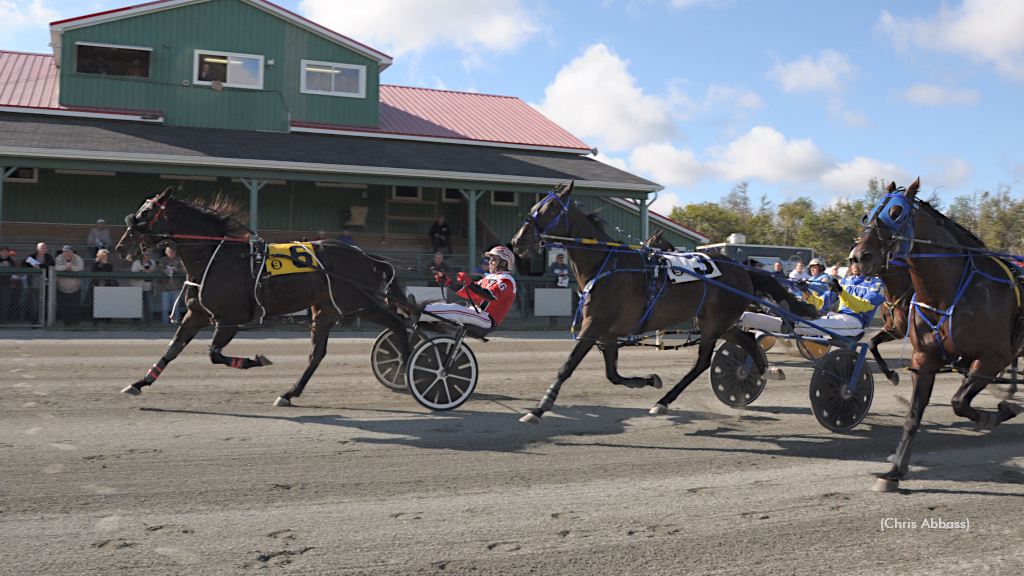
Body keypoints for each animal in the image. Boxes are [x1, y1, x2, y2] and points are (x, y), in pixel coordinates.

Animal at [115, 187, 411, 403]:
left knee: (399, 325)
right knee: (316, 354)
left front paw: (256, 360)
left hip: (362, 303)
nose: (120, 247)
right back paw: (289, 393)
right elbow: (172, 350)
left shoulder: (230, 319)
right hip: (325, 310)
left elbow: (214, 354)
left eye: (146, 213)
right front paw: (138, 383)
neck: (216, 257)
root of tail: (363, 255)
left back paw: (410, 374)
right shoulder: (196, 315)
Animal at [505, 180, 815, 422]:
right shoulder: (607, 332)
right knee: (747, 341)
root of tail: (742, 268)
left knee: (702, 362)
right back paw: (765, 372)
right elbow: (612, 374)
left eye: (549, 209)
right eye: (535, 207)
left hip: (715, 322)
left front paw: (540, 407)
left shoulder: (594, 325)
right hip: (717, 321)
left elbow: (568, 365)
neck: (605, 264)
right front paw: (649, 380)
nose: (518, 242)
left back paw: (664, 402)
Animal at [847, 178, 1024, 487]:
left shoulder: (992, 359)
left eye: (896, 213)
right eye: (867, 215)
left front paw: (999, 412)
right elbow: (913, 414)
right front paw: (895, 472)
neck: (949, 295)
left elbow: (959, 402)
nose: (858, 258)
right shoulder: (923, 358)